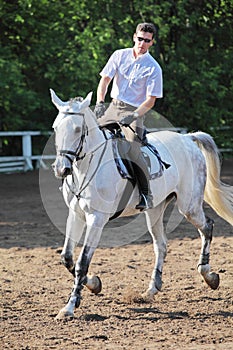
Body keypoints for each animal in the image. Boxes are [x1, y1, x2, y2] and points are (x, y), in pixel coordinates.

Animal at [49, 89, 233, 318]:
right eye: (55, 127)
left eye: (76, 129)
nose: (61, 169)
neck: (87, 167)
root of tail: (187, 138)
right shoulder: (75, 213)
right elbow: (67, 257)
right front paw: (93, 284)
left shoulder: (97, 218)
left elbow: (83, 261)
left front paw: (70, 306)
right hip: (155, 210)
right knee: (161, 244)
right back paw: (152, 288)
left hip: (189, 206)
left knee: (207, 226)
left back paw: (209, 276)